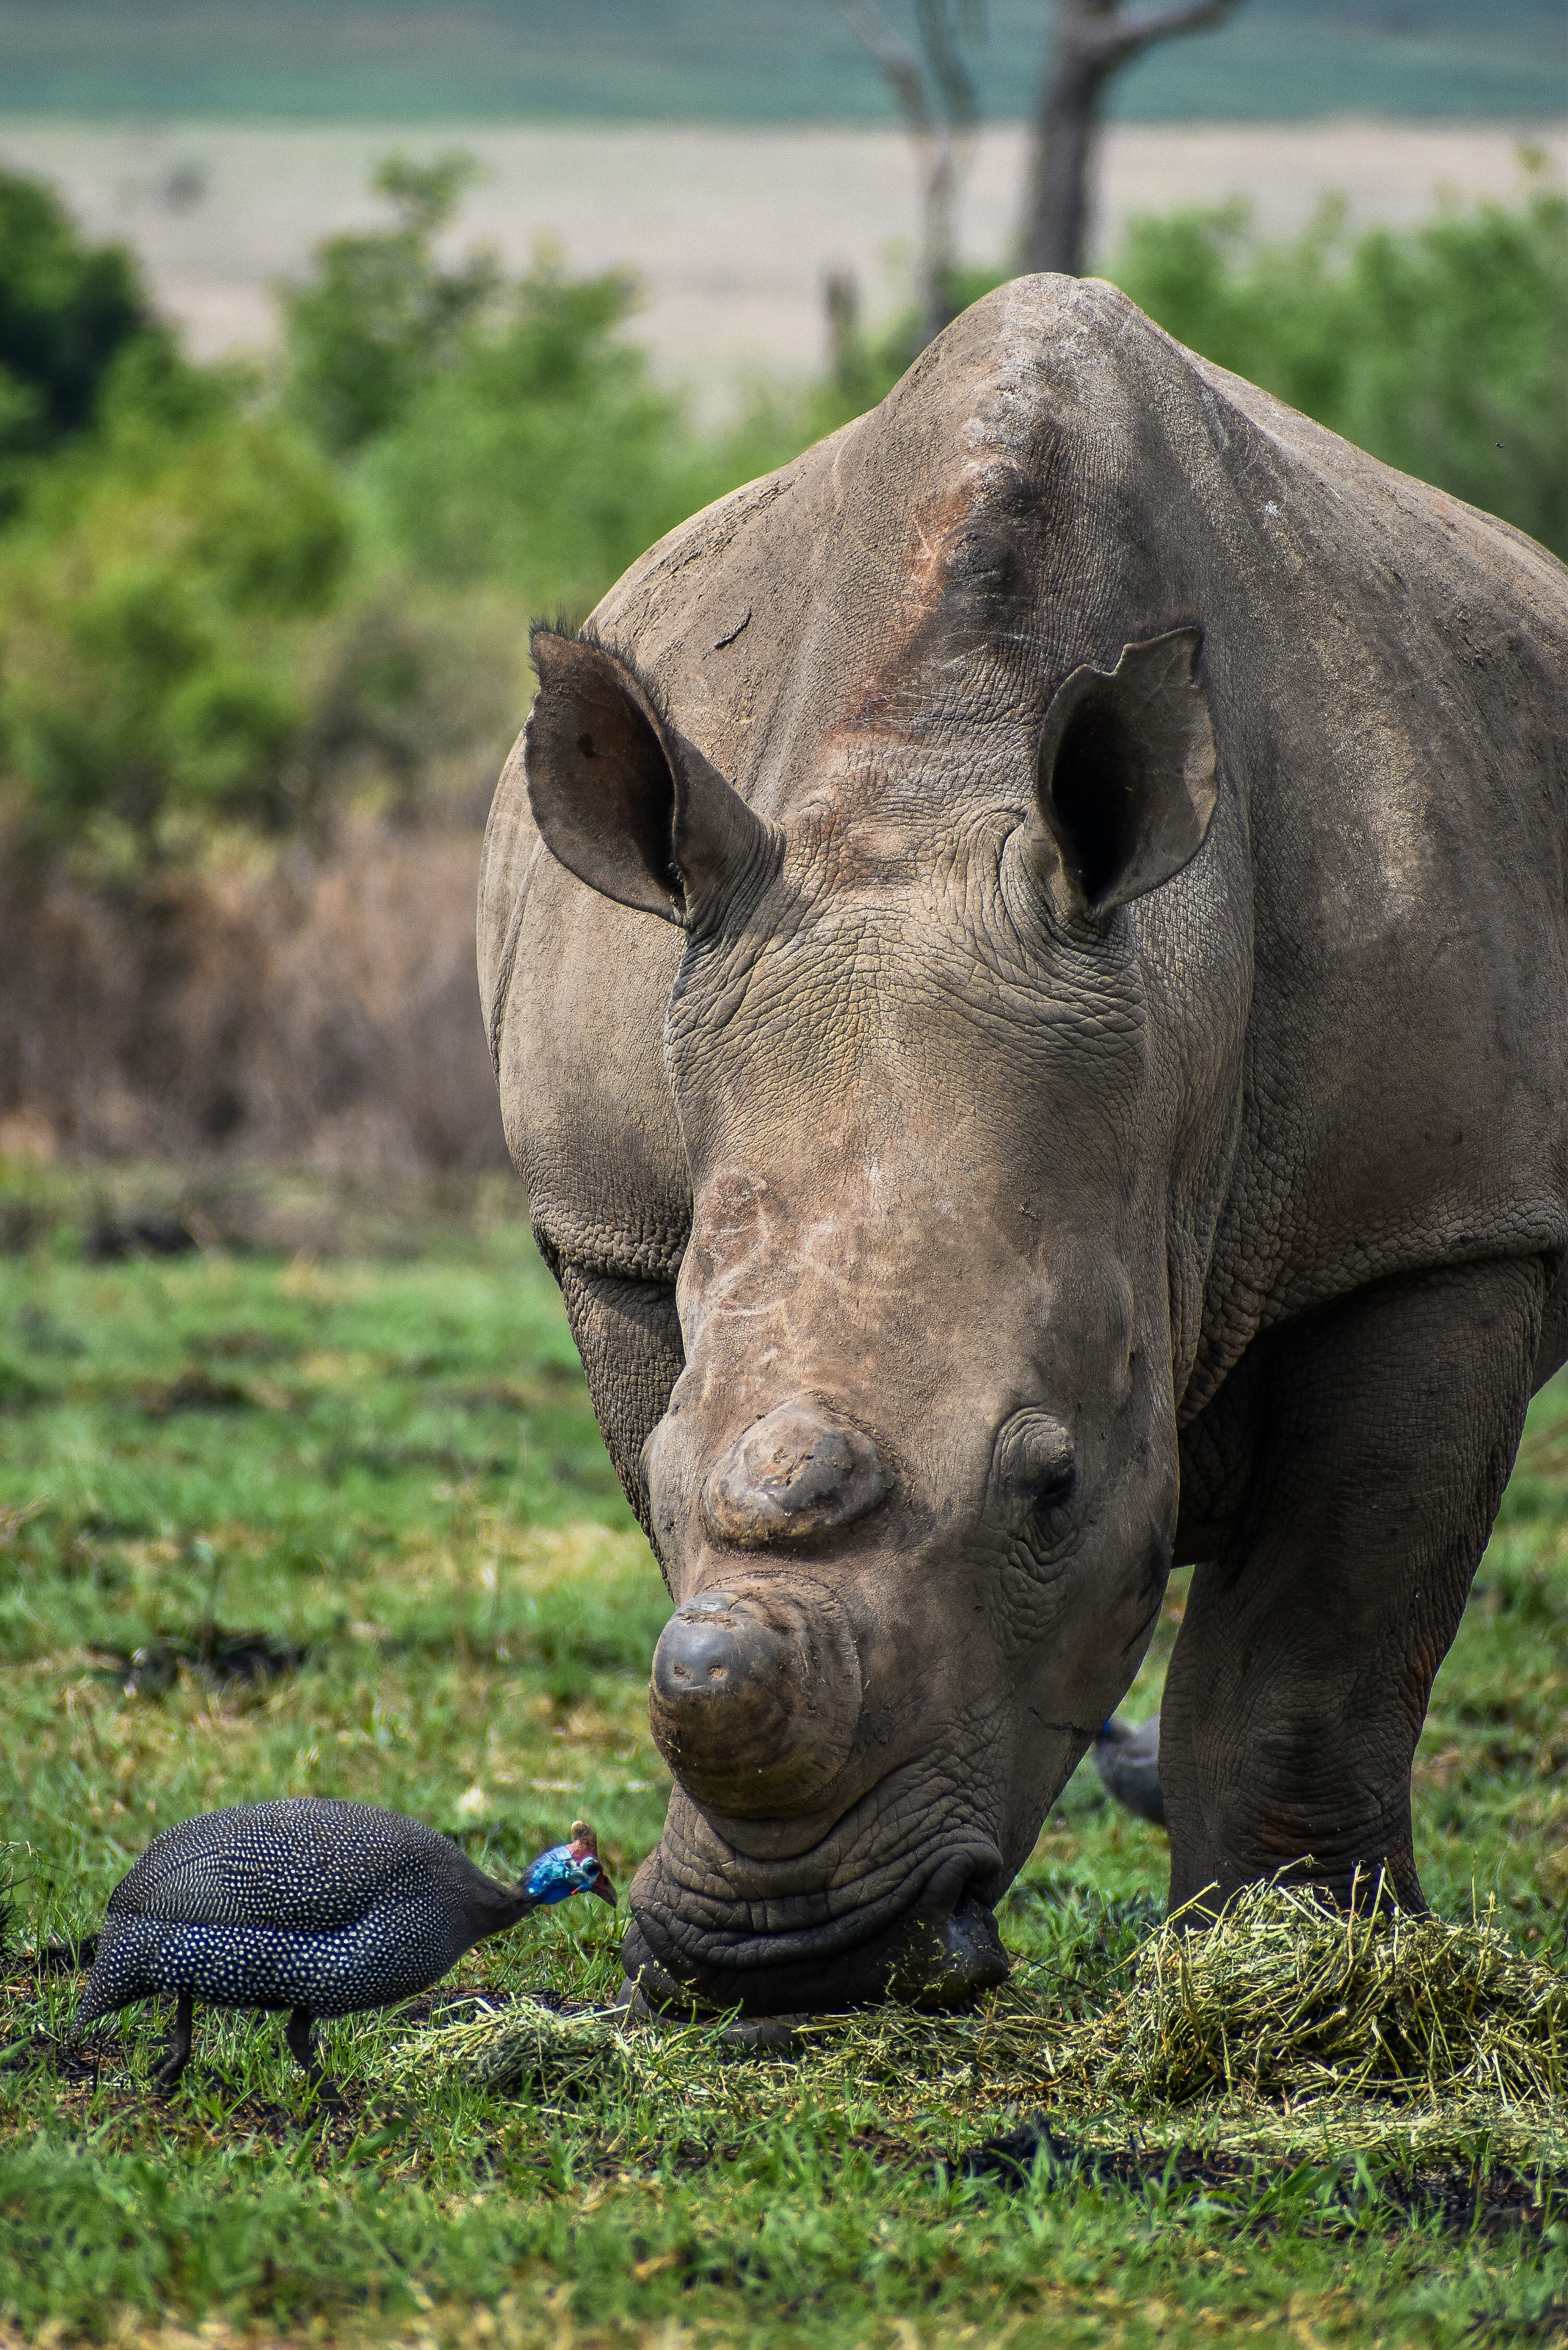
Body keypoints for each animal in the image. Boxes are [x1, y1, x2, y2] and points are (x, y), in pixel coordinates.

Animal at [478, 276, 1568, 2017]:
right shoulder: (611, 1227)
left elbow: (1315, 1658)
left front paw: (1294, 1965)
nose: (783, 1958)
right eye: (664, 1458)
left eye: (1053, 1488)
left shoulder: (1431, 1226)